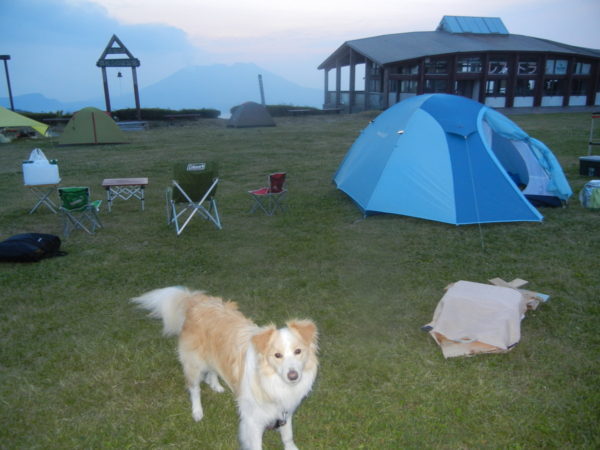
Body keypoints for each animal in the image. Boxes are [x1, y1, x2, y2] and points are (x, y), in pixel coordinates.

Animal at [131, 286, 318, 450]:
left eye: (298, 351)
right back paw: (197, 412)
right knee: (194, 389)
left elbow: (287, 435)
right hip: (194, 365)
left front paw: (291, 447)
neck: (270, 380)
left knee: (212, 372)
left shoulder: (285, 411)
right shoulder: (252, 421)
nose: (293, 376)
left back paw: (216, 386)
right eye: (277, 355)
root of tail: (197, 301)